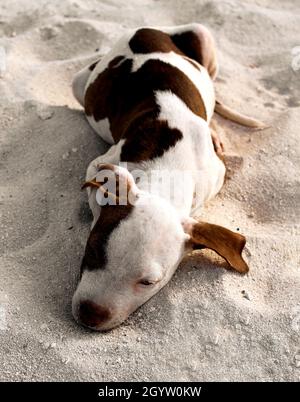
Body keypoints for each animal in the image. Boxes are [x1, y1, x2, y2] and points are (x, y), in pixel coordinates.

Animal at [70, 23, 264, 330]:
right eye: (92, 251)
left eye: (148, 282)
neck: (168, 173)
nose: (90, 314)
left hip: (203, 36)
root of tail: (147, 29)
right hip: (79, 83)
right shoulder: (100, 164)